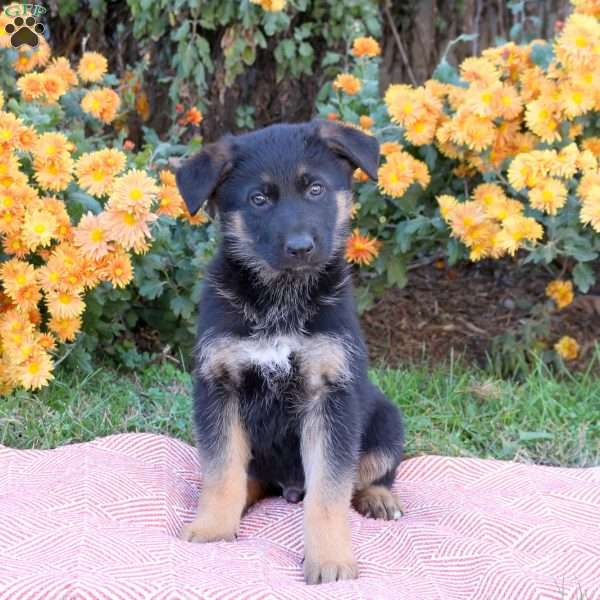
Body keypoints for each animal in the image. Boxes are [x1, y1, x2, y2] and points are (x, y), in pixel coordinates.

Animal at [176, 119, 406, 584]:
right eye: (258, 199)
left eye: (315, 189)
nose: (300, 247)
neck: (281, 298)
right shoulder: (218, 386)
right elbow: (221, 471)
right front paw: (213, 529)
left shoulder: (330, 394)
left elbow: (329, 492)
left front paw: (330, 559)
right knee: (243, 477)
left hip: (387, 421)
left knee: (373, 472)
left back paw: (378, 498)